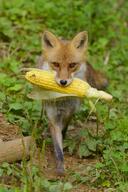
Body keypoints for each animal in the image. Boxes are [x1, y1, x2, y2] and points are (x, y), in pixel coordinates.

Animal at [37, 30, 108, 175]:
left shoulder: (70, 112)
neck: (62, 101)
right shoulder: (53, 117)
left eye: (72, 65)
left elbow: (64, 130)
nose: (63, 82)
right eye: (56, 64)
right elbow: (58, 148)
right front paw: (60, 167)